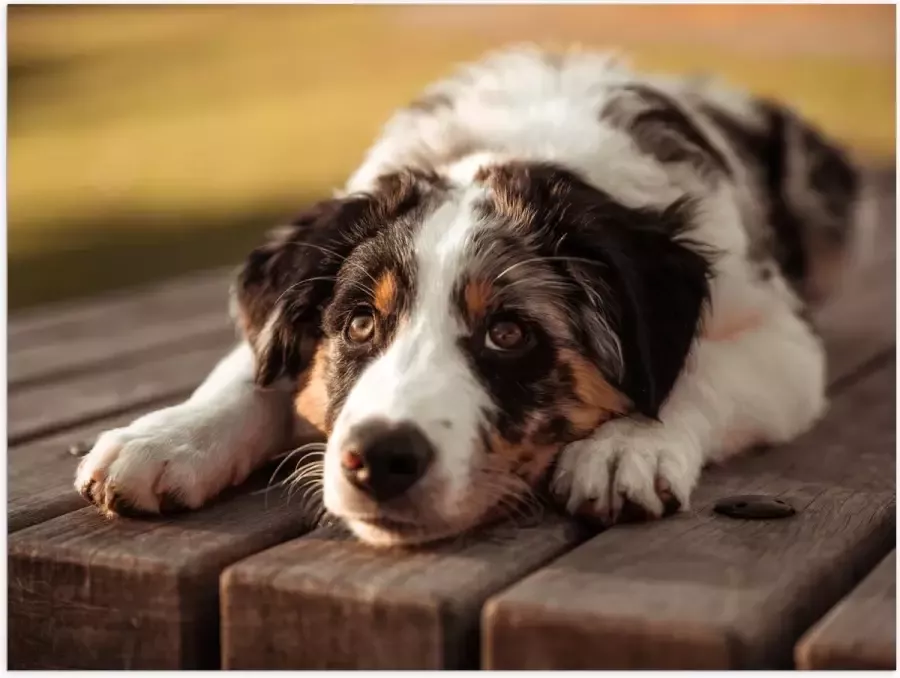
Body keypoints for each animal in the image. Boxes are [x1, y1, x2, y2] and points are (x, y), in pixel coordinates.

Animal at [74, 46, 868, 548]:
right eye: (358, 324)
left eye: (509, 333)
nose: (379, 460)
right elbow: (251, 367)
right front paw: (166, 438)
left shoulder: (782, 340)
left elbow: (697, 370)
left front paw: (627, 447)